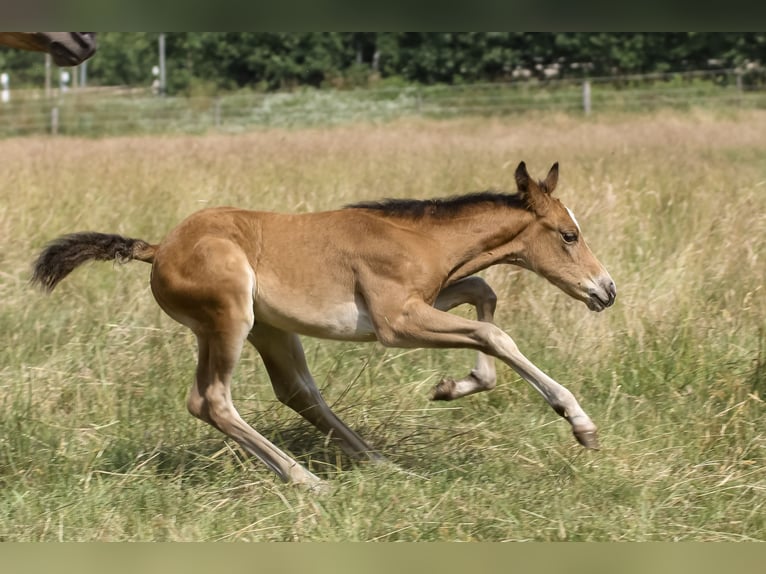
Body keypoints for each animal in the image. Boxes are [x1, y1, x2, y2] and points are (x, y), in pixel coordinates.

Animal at [31, 161, 616, 488]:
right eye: (568, 235)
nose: (606, 290)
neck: (420, 237)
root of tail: (158, 249)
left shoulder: (430, 299)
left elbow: (484, 295)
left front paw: (453, 386)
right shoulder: (395, 323)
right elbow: (495, 332)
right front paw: (579, 423)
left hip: (269, 329)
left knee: (299, 393)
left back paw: (382, 467)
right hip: (230, 320)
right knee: (211, 400)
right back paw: (308, 481)